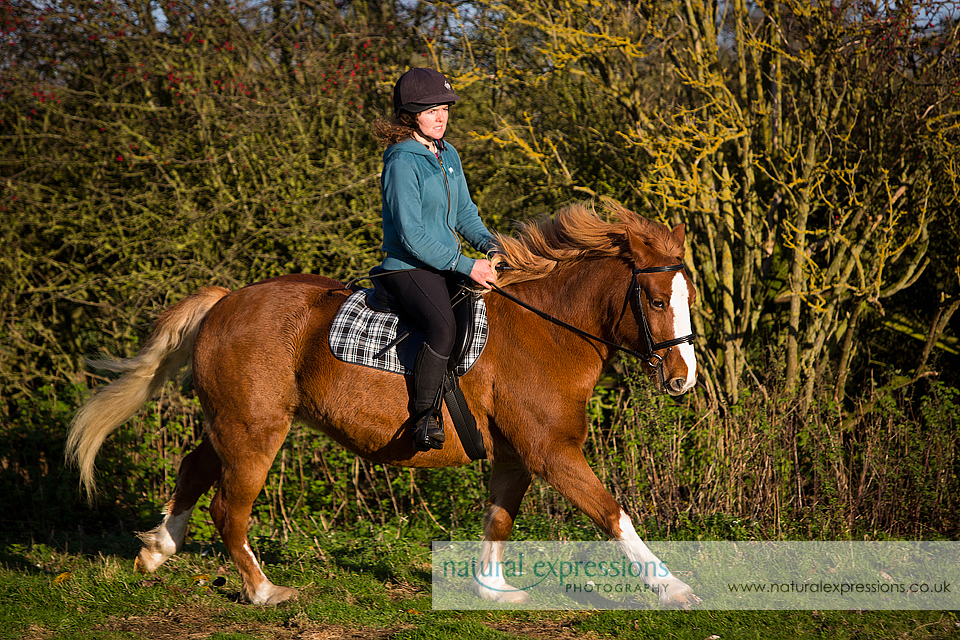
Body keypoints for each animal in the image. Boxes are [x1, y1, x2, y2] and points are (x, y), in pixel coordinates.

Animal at [65, 198, 696, 608]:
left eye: (687, 294)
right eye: (656, 299)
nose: (683, 378)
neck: (548, 329)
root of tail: (224, 302)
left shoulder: (517, 455)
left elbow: (498, 518)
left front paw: (492, 589)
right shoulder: (551, 451)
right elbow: (613, 514)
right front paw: (673, 587)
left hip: (232, 422)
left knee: (194, 467)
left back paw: (158, 549)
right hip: (255, 431)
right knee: (228, 507)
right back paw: (264, 591)